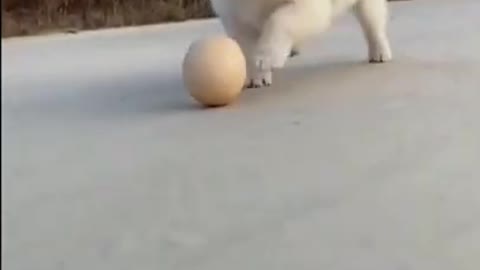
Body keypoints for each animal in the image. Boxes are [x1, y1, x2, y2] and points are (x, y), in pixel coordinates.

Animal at [208, 0, 392, 87]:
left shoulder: (307, 6)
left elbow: (281, 19)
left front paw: (267, 57)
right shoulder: (235, 15)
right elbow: (246, 47)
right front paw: (257, 77)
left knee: (372, 20)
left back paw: (380, 53)